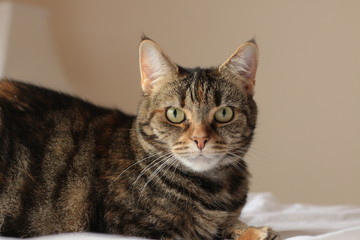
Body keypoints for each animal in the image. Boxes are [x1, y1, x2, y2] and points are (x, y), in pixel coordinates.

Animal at [0, 36, 280, 239]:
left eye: (224, 113)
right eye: (175, 114)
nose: (200, 139)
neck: (215, 190)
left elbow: (234, 223)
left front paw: (256, 230)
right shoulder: (142, 229)